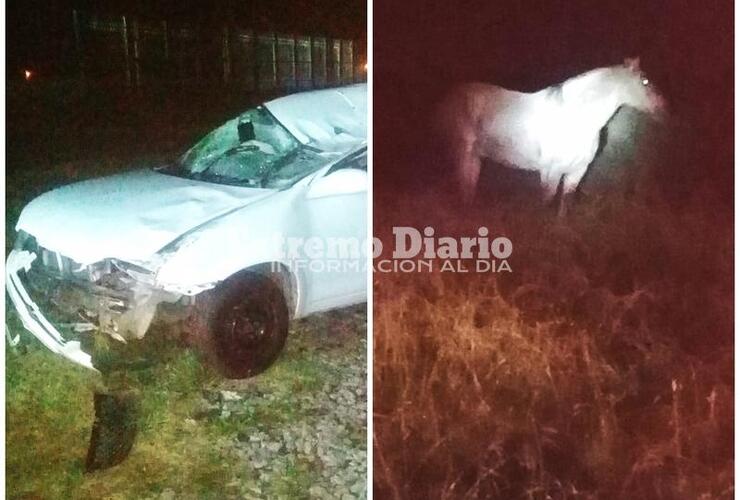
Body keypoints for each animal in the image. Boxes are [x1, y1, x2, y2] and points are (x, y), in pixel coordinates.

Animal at [436, 57, 668, 212]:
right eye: (645, 81)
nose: (664, 109)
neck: (579, 118)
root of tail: (448, 98)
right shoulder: (550, 171)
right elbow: (546, 204)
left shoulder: (577, 172)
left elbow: (564, 208)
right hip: (463, 152)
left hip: (475, 156)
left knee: (468, 188)